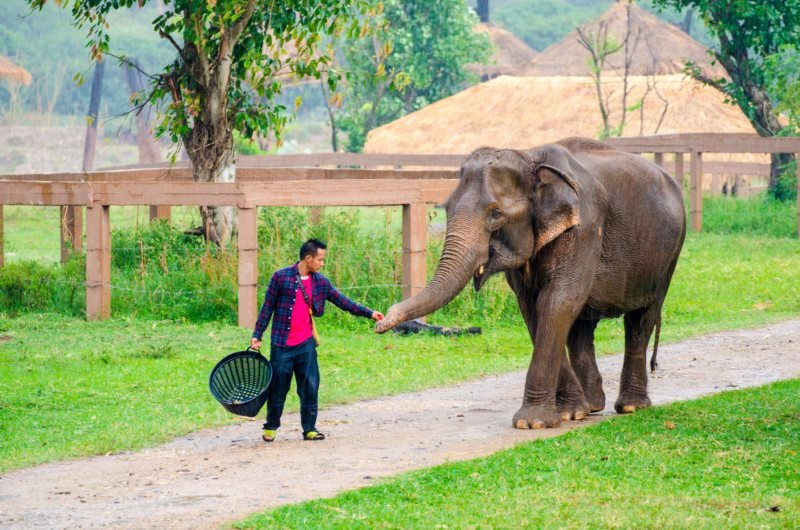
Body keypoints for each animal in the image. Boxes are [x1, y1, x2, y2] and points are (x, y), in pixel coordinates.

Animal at [376, 137, 686, 429]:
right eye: (447, 208)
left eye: (496, 215)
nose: (381, 320)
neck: (529, 158)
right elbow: (534, 308)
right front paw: (569, 413)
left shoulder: (584, 228)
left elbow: (558, 301)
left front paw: (532, 423)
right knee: (582, 327)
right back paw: (592, 406)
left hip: (669, 256)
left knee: (640, 320)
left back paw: (631, 407)